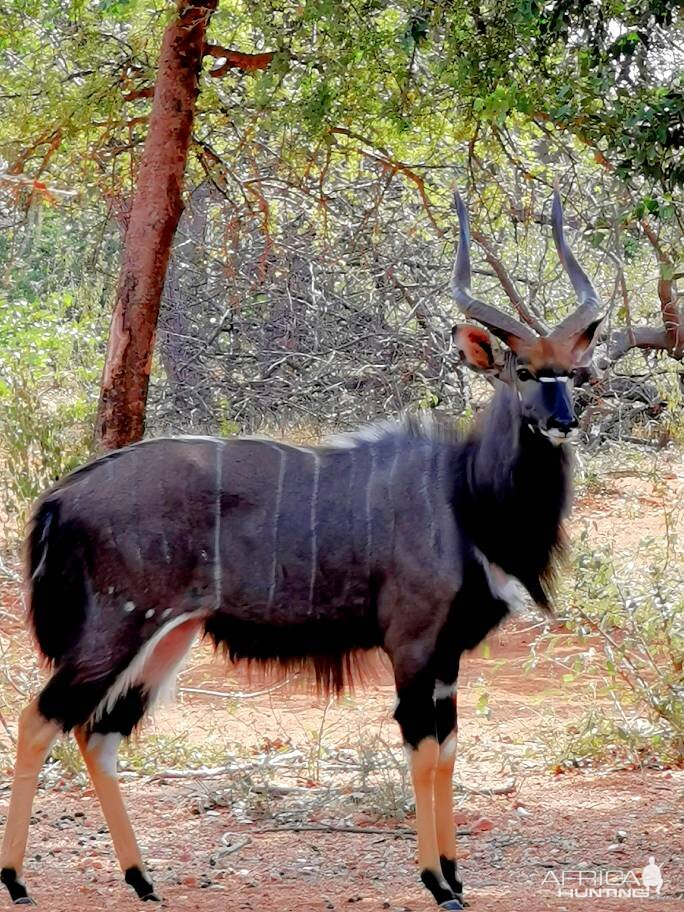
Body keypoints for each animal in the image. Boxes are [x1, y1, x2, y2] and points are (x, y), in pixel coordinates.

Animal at [2, 191, 604, 904]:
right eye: (524, 371)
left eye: (572, 373)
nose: (563, 420)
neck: (466, 495)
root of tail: (61, 496)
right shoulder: (413, 643)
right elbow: (424, 750)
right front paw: (437, 882)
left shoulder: (448, 655)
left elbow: (451, 750)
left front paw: (456, 875)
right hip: (117, 629)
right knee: (40, 719)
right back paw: (18, 881)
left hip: (168, 636)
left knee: (98, 734)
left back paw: (143, 881)